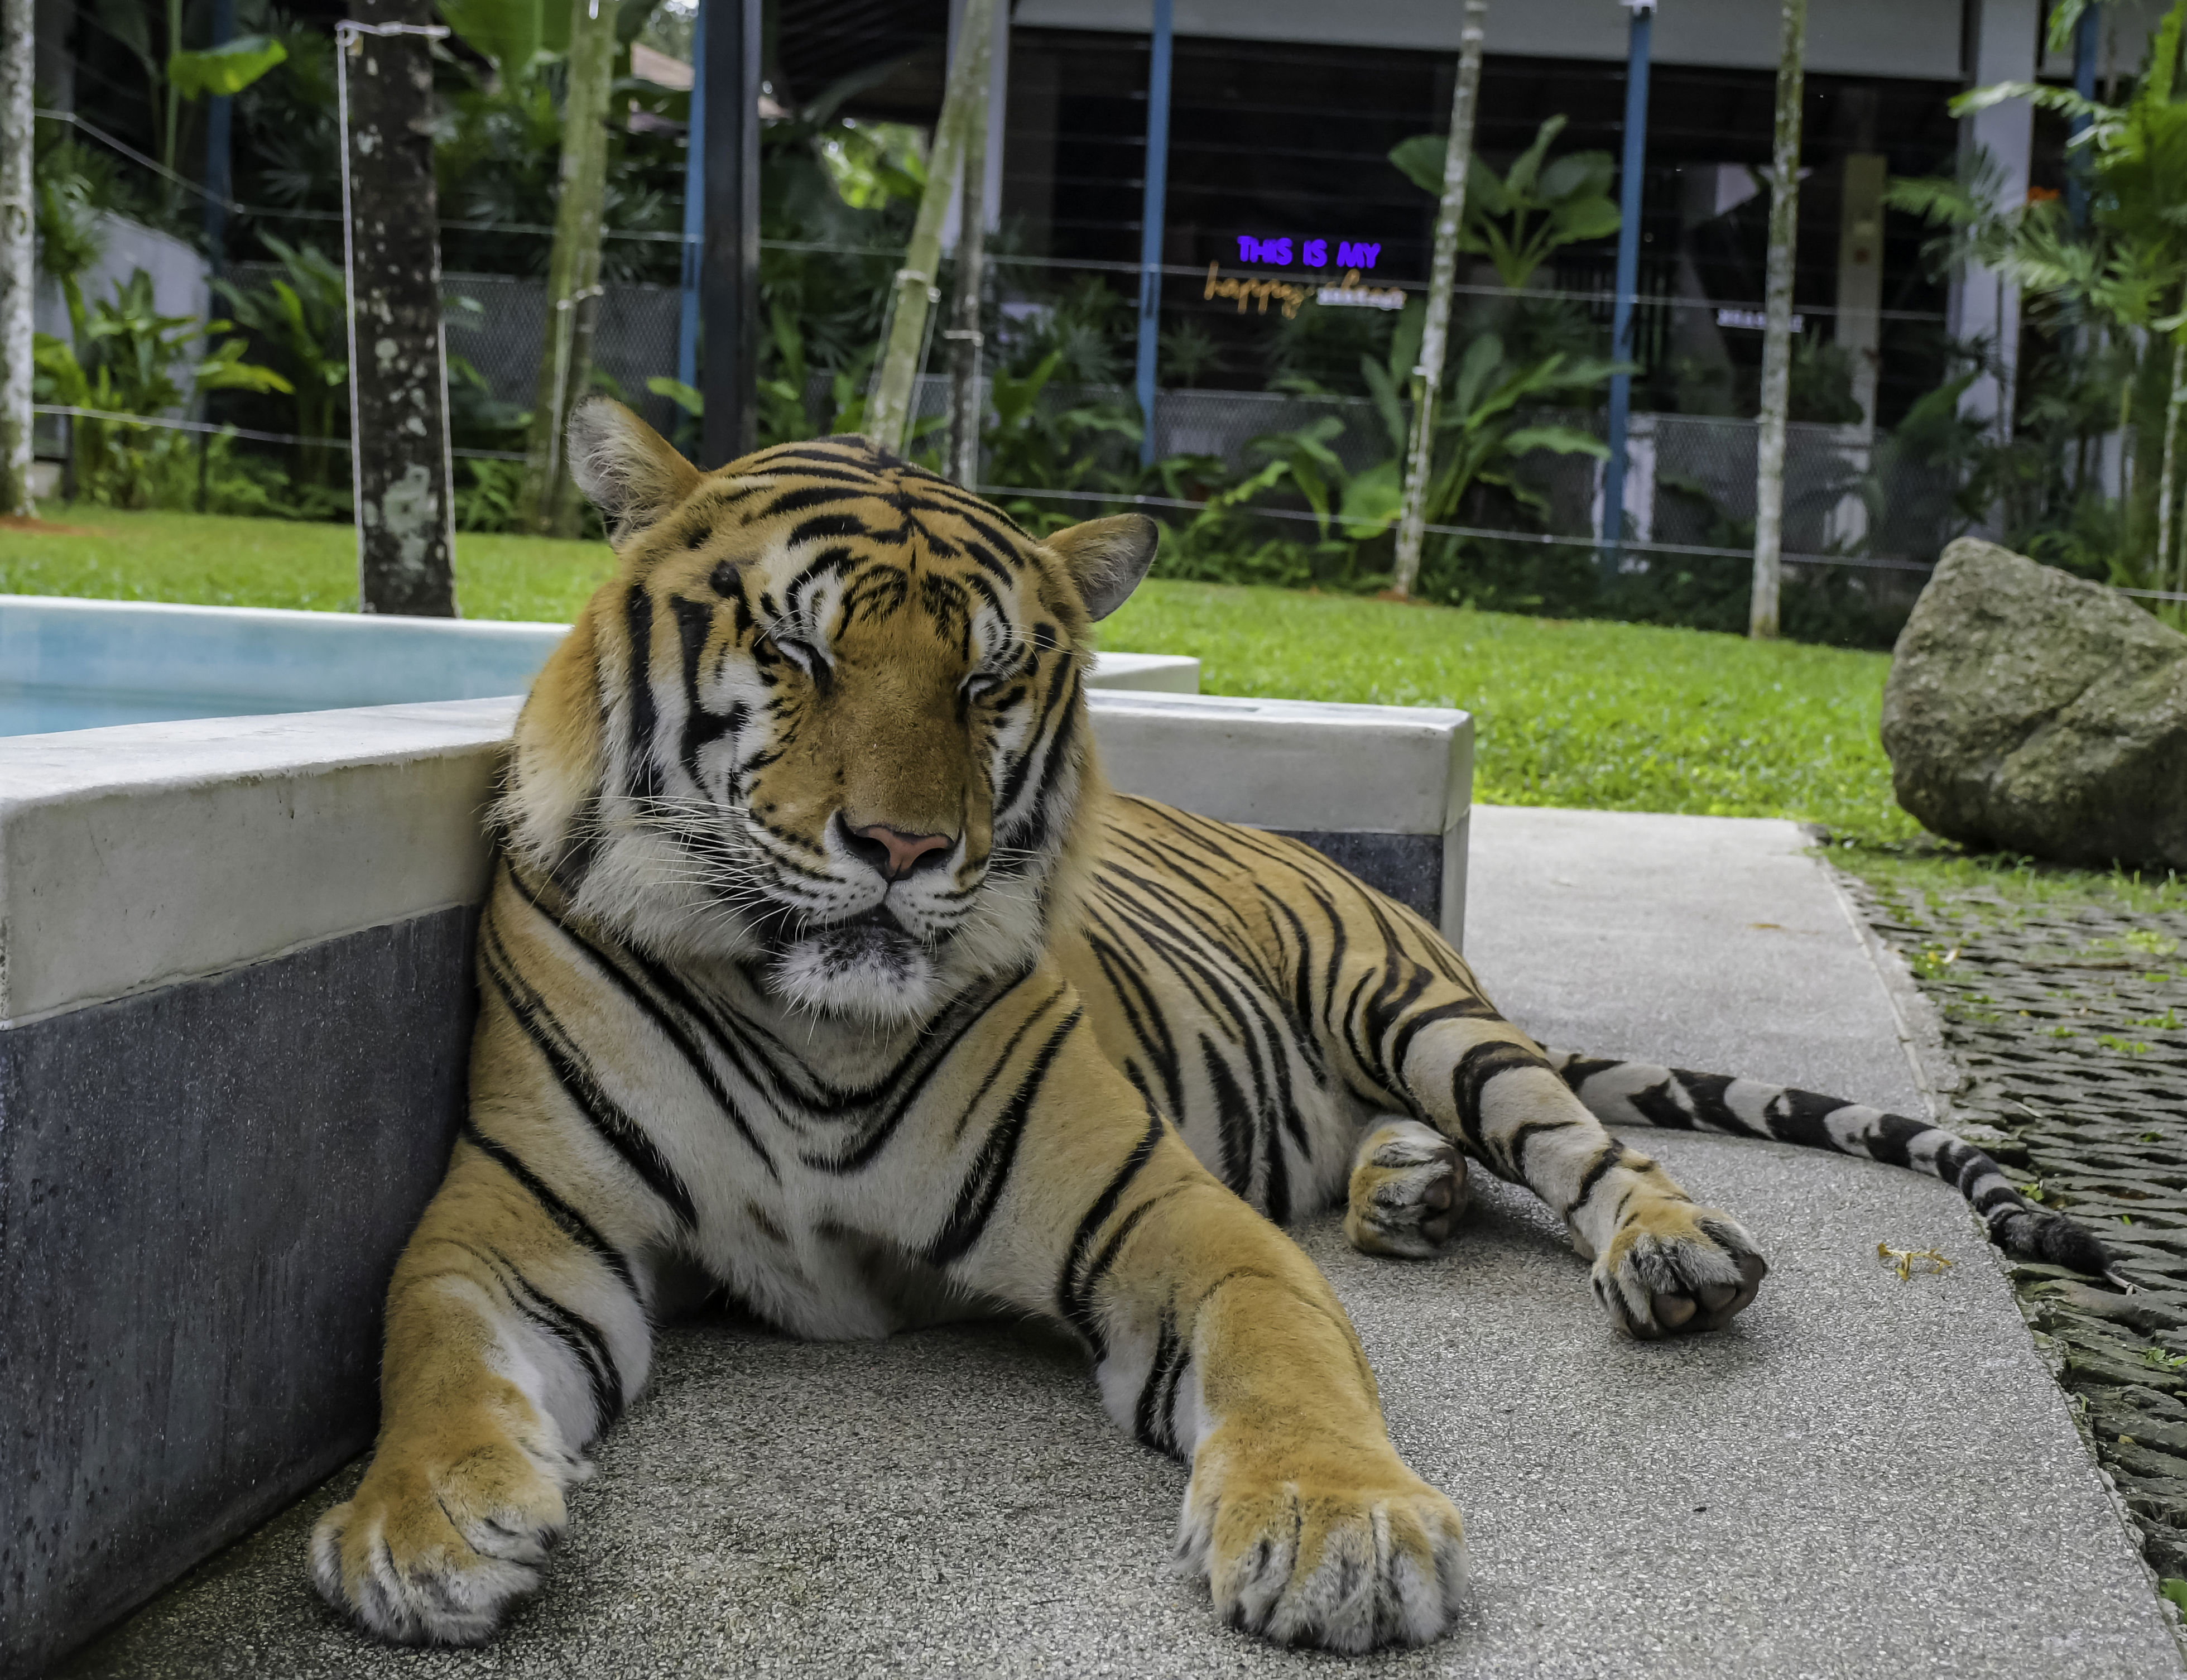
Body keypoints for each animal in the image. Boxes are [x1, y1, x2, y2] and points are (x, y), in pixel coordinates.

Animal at [310, 402, 2113, 1656]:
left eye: (988, 682)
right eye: (797, 644)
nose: (901, 848)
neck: (810, 1018)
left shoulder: (1163, 1210)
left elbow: (1283, 1356)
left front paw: (1334, 1531)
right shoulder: (513, 1223)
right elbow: (429, 1347)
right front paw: (418, 1526)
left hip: (1418, 1008)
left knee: (1584, 1146)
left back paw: (1665, 1251)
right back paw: (1407, 1193)